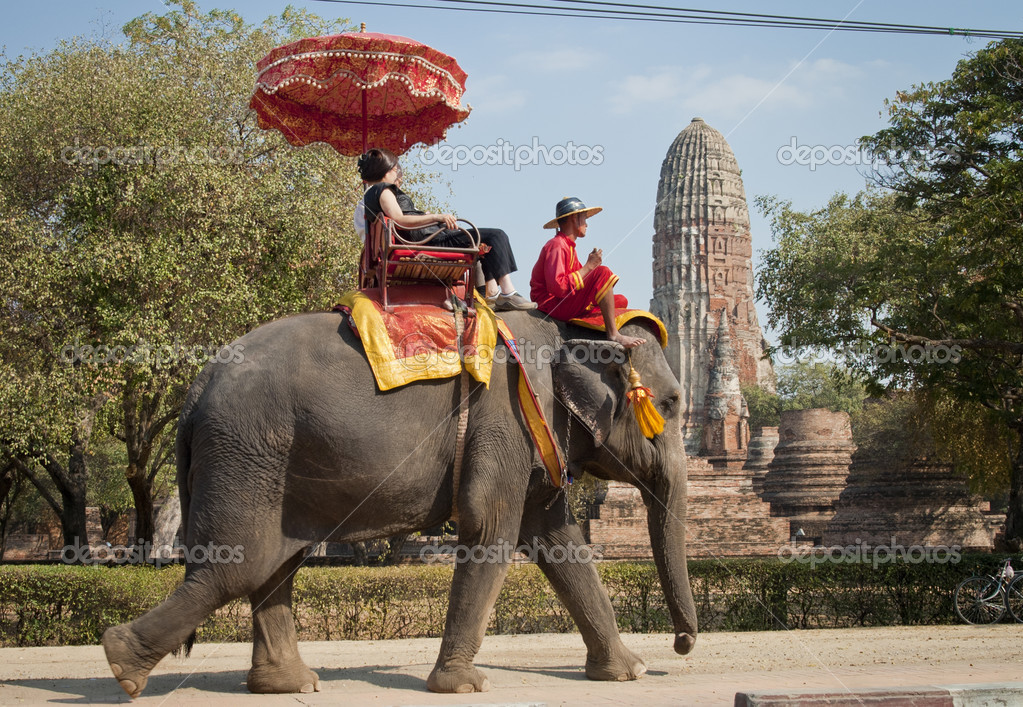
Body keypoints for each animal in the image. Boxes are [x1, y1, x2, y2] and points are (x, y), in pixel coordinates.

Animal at [101, 308, 698, 698]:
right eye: (671, 404)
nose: (683, 646)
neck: (564, 330)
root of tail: (196, 388)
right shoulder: (503, 417)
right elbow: (490, 529)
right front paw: (464, 686)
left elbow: (559, 541)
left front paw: (629, 674)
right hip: (247, 455)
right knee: (238, 568)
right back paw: (122, 665)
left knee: (275, 567)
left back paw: (289, 686)